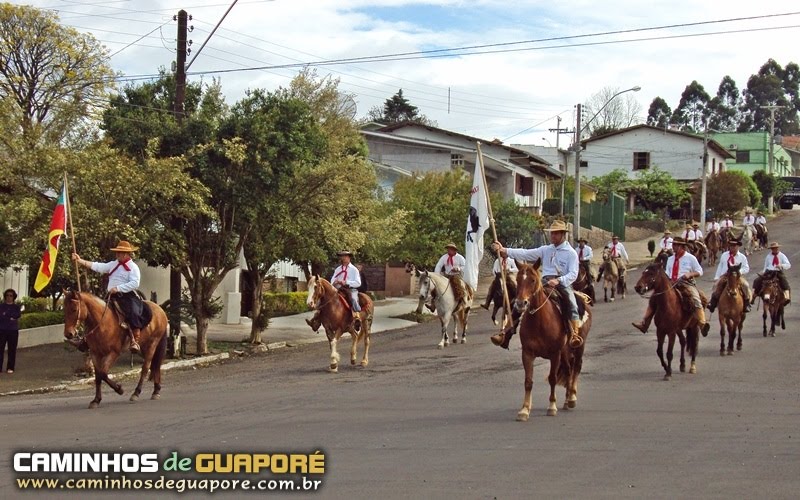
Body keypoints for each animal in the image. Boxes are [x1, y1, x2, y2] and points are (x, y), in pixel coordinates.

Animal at [510, 262, 592, 422]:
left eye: (533, 280)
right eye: (517, 279)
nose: (520, 303)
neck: (539, 321)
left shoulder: (555, 354)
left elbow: (553, 378)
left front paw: (552, 406)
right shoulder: (527, 353)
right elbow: (528, 381)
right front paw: (524, 409)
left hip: (579, 346)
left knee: (576, 368)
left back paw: (572, 397)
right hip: (565, 352)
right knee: (568, 370)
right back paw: (566, 401)